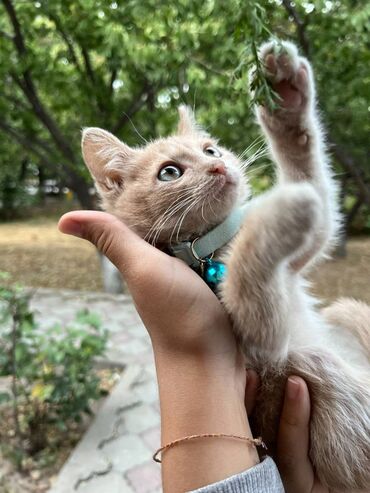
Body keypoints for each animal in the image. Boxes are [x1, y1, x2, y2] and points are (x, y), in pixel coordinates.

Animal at [81, 40, 370, 490]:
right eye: (169, 172)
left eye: (210, 150)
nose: (219, 166)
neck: (212, 245)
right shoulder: (265, 349)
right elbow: (248, 278)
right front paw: (282, 210)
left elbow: (316, 192)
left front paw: (286, 100)